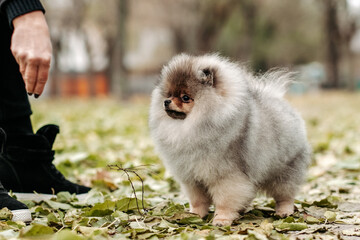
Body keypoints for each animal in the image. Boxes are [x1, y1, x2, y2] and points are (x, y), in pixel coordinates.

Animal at [148, 53, 310, 226]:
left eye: (185, 97)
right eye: (169, 94)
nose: (166, 101)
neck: (189, 126)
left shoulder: (225, 175)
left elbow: (225, 199)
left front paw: (222, 219)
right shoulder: (192, 178)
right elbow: (198, 200)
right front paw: (194, 215)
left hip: (284, 169)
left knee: (285, 194)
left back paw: (284, 211)